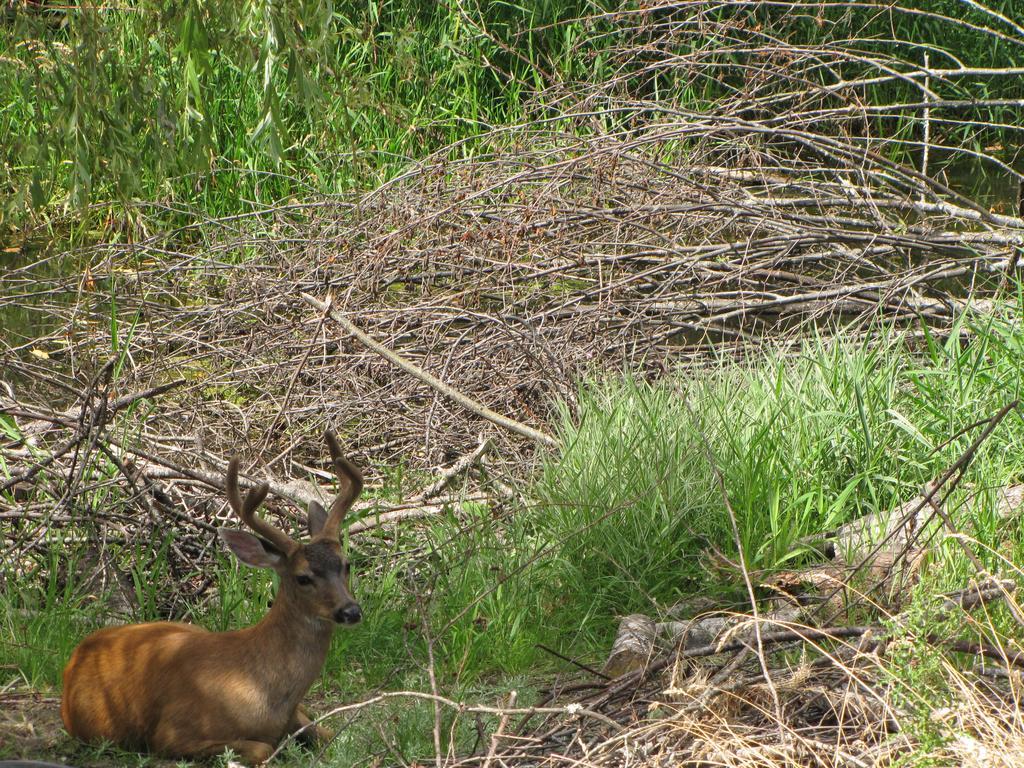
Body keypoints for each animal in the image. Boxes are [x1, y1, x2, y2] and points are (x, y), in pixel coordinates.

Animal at [59, 434, 364, 765]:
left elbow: (331, 735)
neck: (263, 689)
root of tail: (78, 654)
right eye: (303, 577)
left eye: (346, 565)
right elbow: (263, 747)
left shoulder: (297, 715)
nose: (351, 611)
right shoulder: (171, 734)